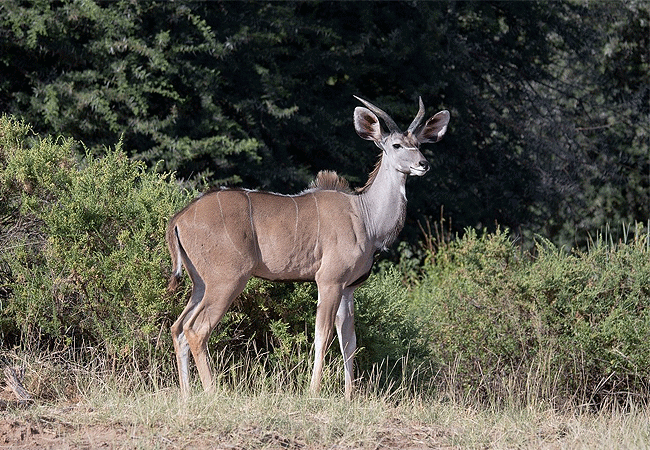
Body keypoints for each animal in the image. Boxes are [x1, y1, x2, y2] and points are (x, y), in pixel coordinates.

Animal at [167, 96, 448, 400]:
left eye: (419, 144)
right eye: (396, 145)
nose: (423, 164)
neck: (365, 216)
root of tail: (179, 219)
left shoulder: (348, 288)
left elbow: (348, 340)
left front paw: (350, 396)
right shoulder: (328, 280)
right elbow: (322, 335)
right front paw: (314, 392)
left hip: (200, 283)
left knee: (178, 327)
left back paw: (186, 394)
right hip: (226, 280)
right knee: (197, 329)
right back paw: (213, 392)